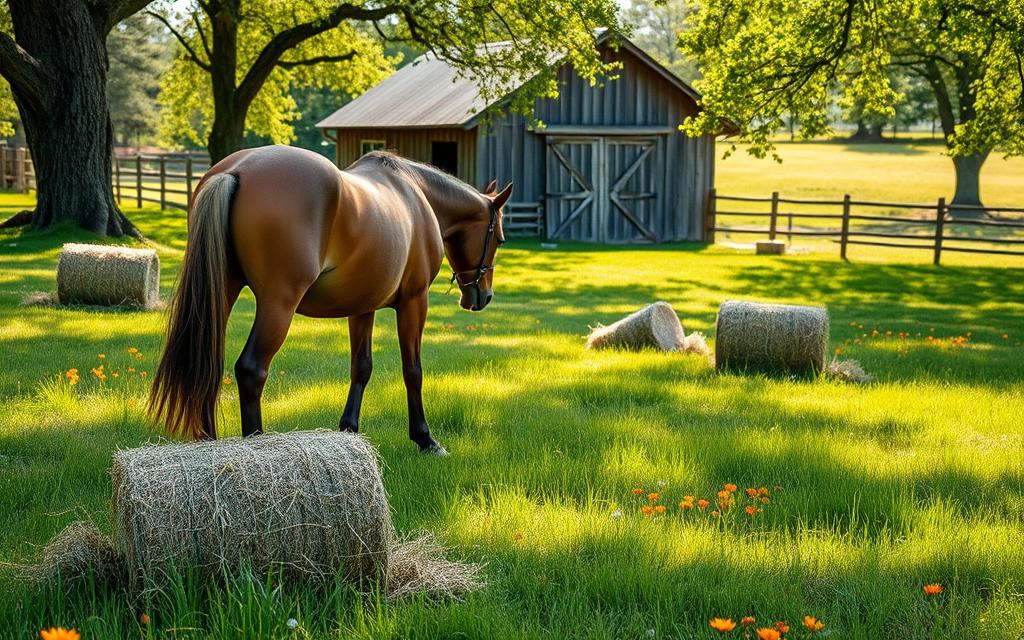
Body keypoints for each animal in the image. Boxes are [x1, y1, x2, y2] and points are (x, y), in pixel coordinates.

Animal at [149, 144, 512, 454]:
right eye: (499, 238)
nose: (483, 296)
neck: (416, 194)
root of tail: (237, 170)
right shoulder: (413, 300)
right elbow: (413, 370)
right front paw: (425, 438)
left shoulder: (363, 306)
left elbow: (361, 367)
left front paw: (349, 428)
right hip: (278, 304)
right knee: (251, 369)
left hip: (222, 293)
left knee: (207, 364)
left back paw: (208, 446)